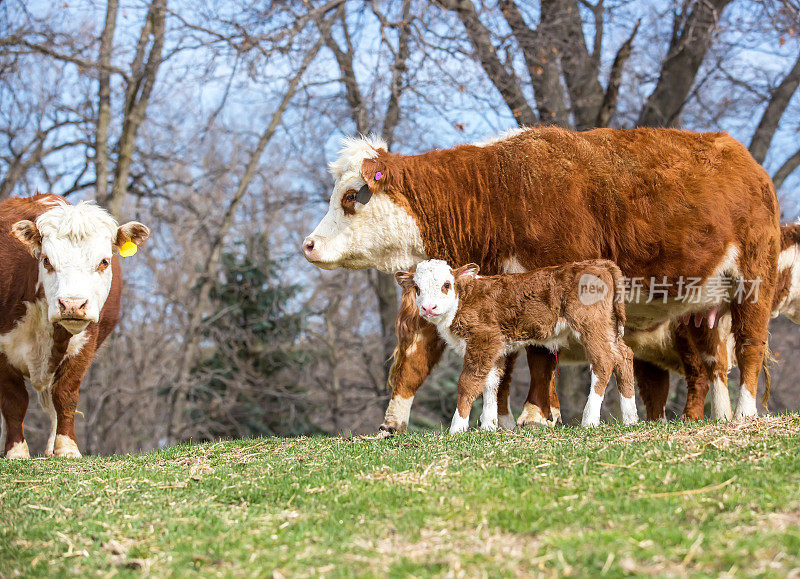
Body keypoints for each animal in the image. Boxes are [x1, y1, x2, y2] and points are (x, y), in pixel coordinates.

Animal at [0, 195, 149, 458]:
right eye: (46, 260)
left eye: (104, 261)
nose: (72, 304)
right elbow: (14, 401)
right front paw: (16, 451)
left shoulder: (85, 345)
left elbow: (65, 395)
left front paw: (66, 447)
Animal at [396, 260, 636, 432]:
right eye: (417, 287)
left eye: (446, 285)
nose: (429, 308)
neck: (463, 299)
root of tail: (598, 263)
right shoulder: (494, 348)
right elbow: (491, 383)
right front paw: (488, 426)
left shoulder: (483, 341)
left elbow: (468, 383)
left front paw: (457, 428)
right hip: (609, 328)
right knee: (624, 356)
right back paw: (631, 417)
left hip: (591, 326)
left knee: (603, 362)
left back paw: (590, 420)